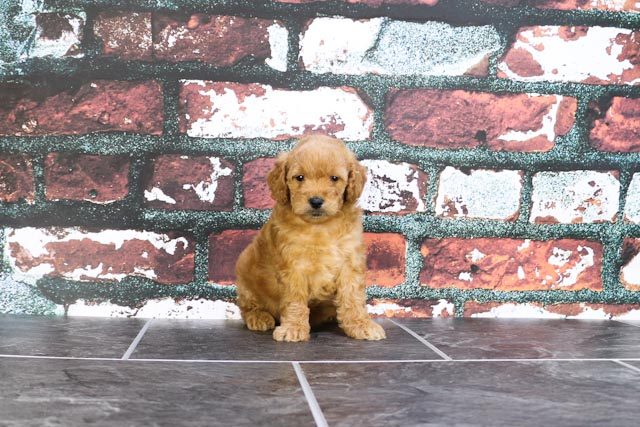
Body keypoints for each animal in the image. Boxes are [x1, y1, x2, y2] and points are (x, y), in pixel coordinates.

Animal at [235, 135, 384, 342]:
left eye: (334, 178)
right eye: (299, 177)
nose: (316, 201)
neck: (319, 226)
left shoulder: (350, 262)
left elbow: (353, 298)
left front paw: (361, 325)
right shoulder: (293, 266)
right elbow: (294, 300)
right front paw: (293, 328)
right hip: (245, 272)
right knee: (248, 306)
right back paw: (259, 317)